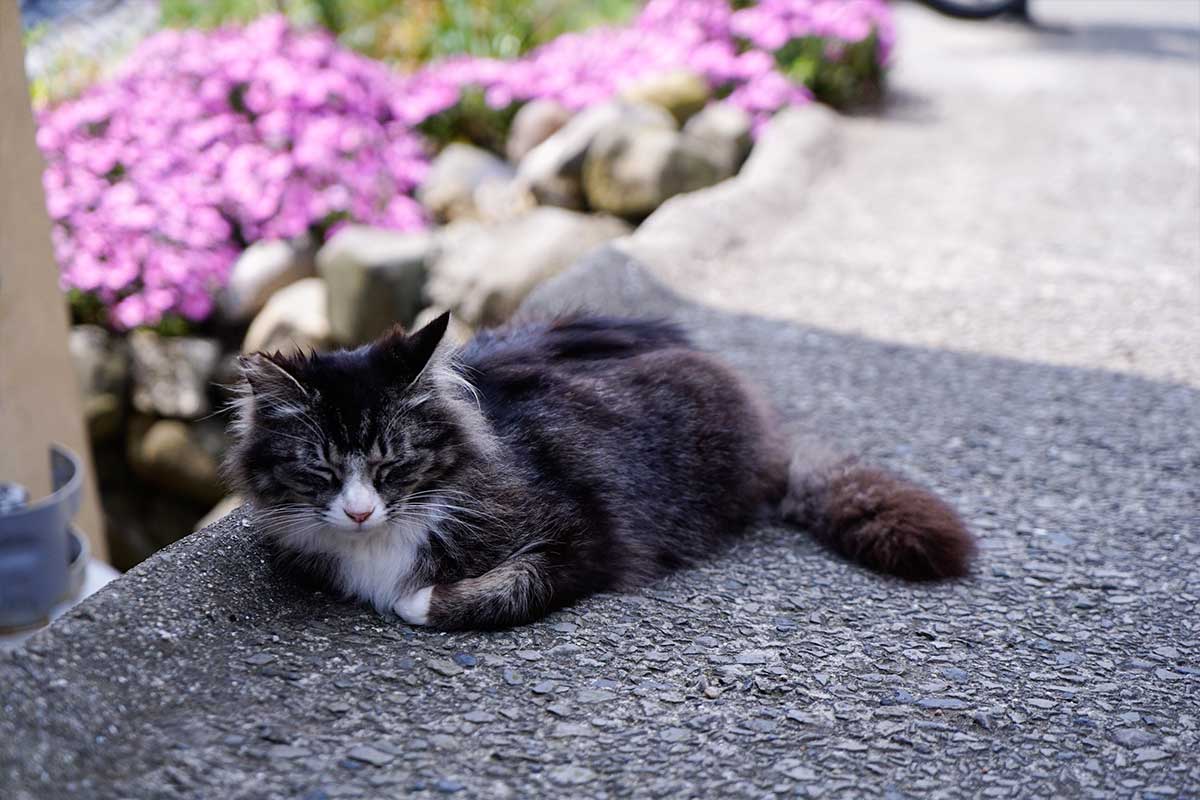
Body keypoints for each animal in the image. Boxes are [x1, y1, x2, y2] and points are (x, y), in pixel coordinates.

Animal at [225, 311, 974, 633]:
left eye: (392, 465)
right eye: (321, 472)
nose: (359, 511)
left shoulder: (583, 535)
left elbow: (495, 593)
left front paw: (416, 600)